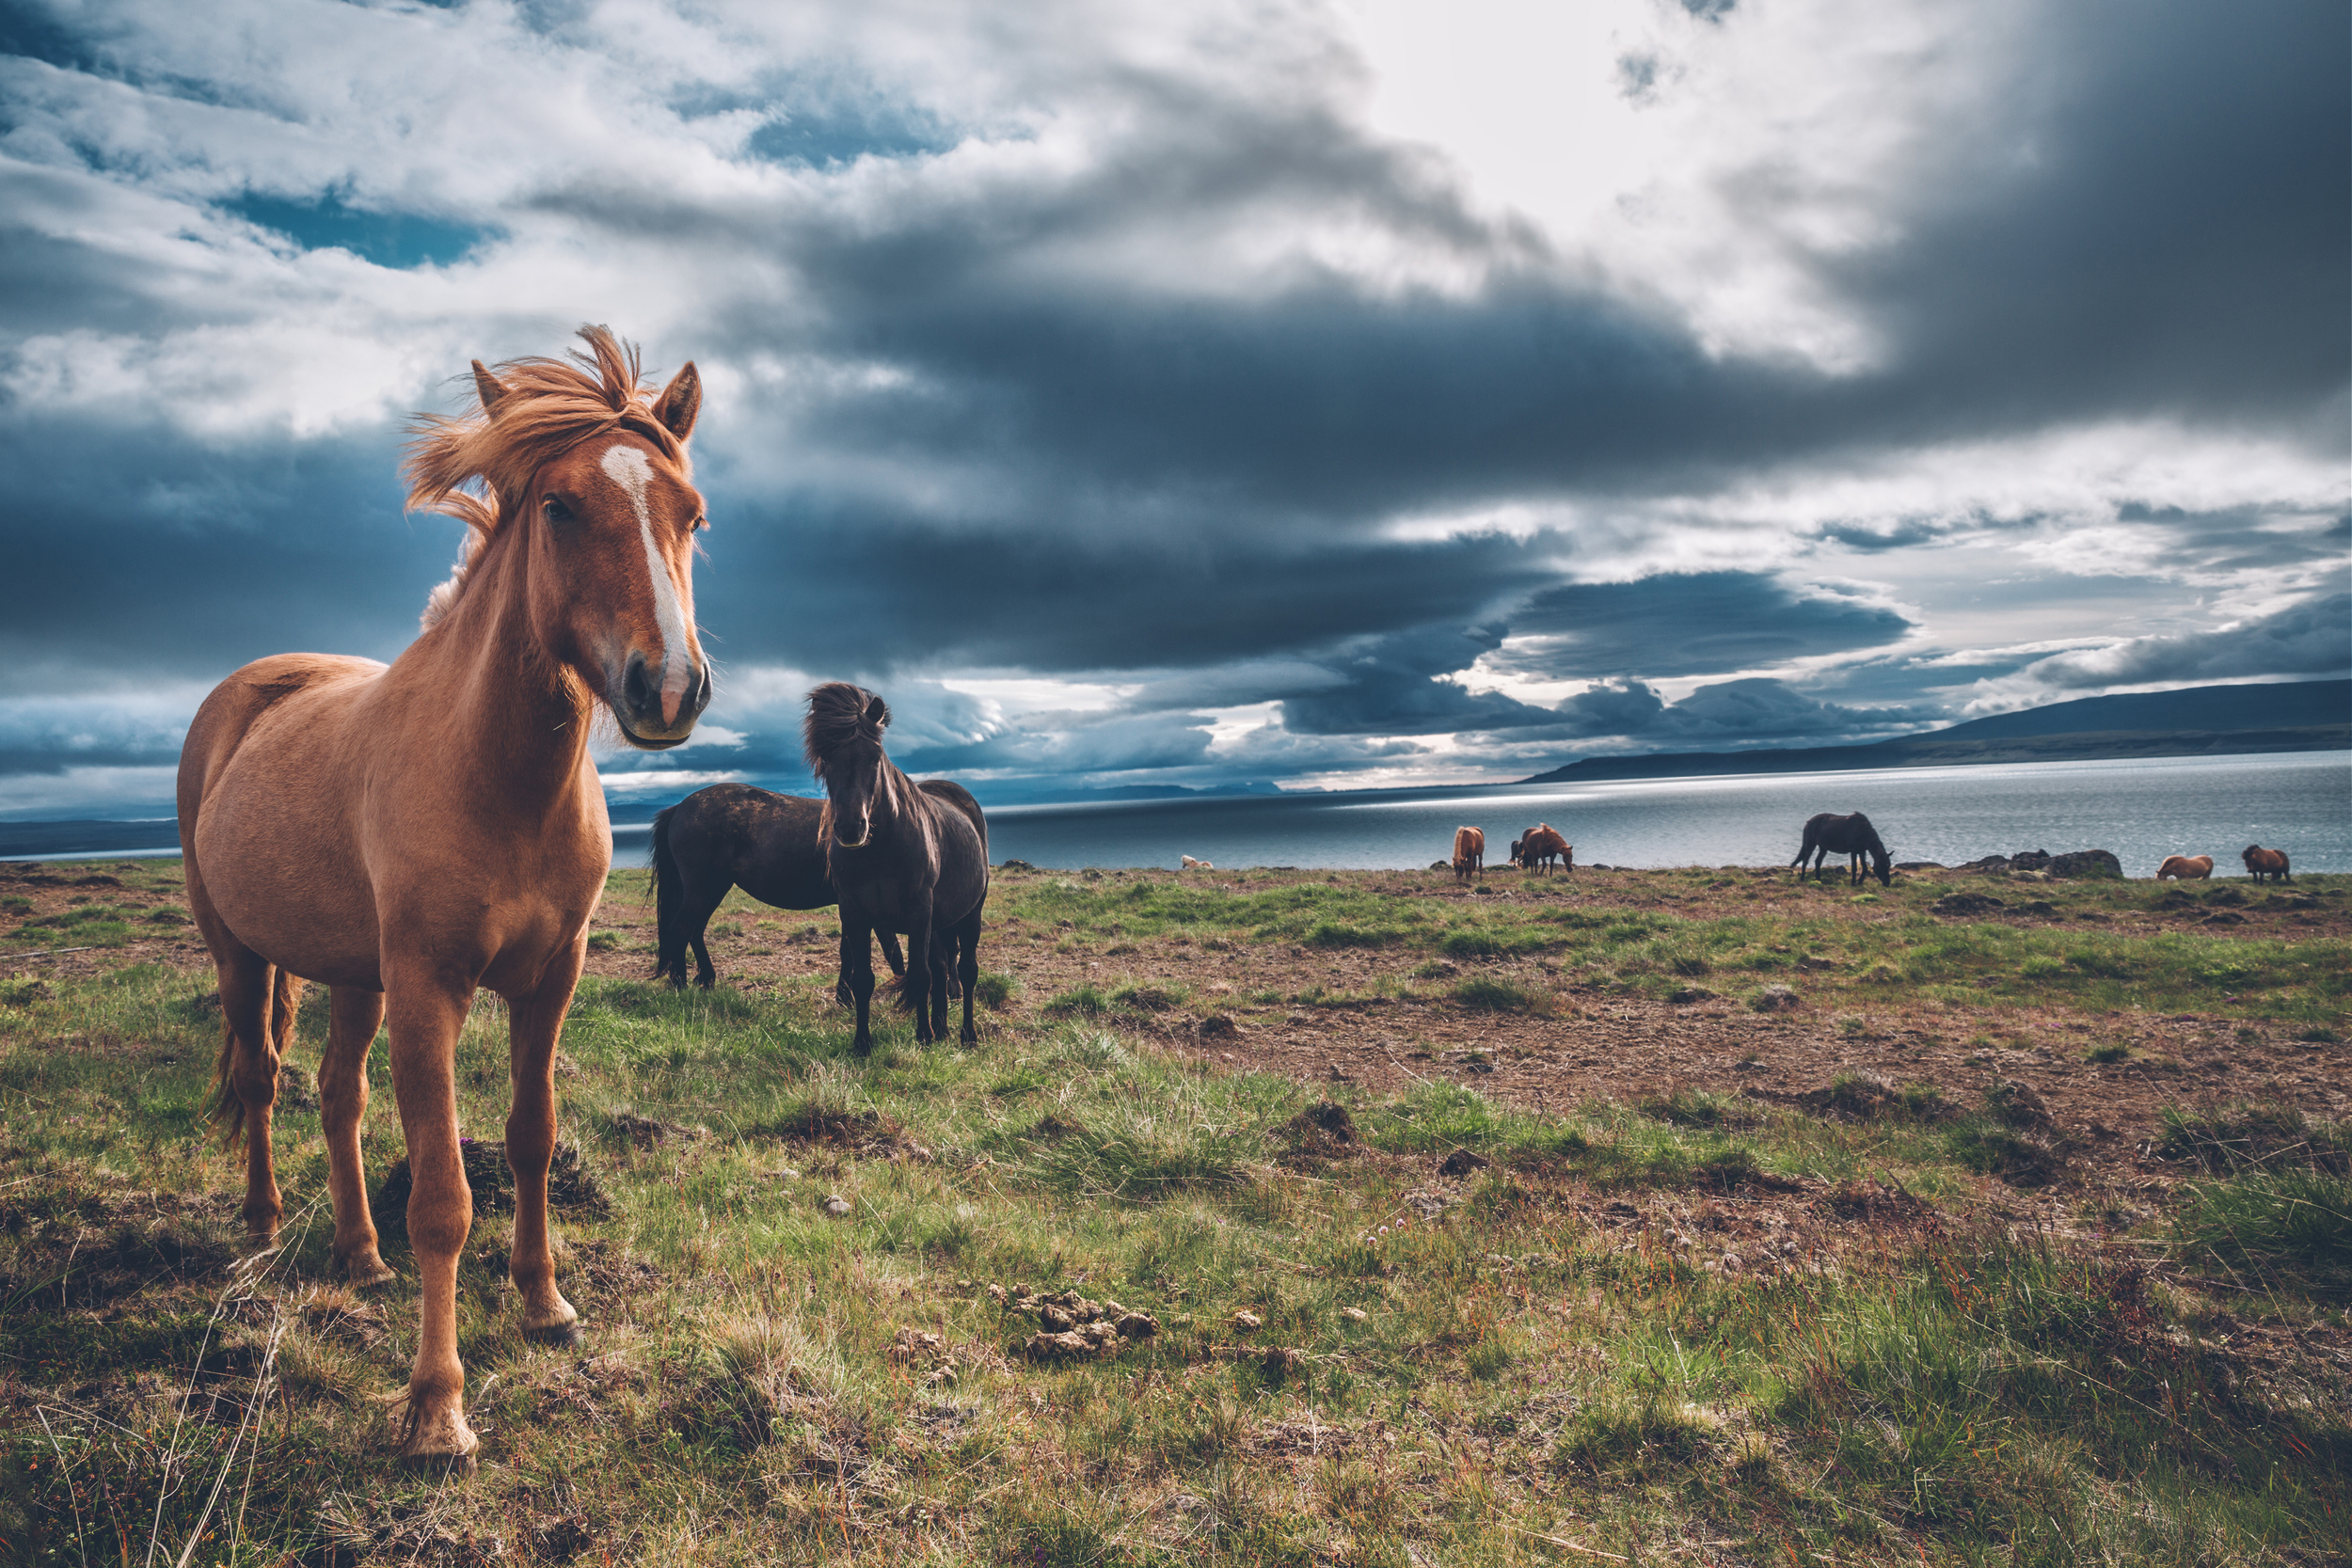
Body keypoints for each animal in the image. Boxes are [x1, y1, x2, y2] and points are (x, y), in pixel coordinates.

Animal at [177, 324, 706, 1466]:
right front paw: (435, 1406)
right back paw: (265, 1223)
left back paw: (359, 1255)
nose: (670, 688)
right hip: (243, 953)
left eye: (690, 513)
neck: (495, 776)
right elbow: (443, 1197)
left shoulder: (552, 977)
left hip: (353, 974)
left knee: (337, 1094)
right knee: (261, 1077)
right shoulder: (428, 988)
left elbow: (531, 1136)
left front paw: (545, 1304)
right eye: (558, 506)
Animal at [654, 784, 908, 991]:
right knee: (681, 929)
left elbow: (882, 952)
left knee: (695, 931)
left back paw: (706, 979)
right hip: (700, 890)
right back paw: (680, 986)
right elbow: (875, 952)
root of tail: (679, 808)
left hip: (714, 889)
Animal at [809, 686, 993, 1053]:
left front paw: (923, 1037)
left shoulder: (919, 910)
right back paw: (942, 1027)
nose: (850, 828)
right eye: (827, 757)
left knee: (966, 970)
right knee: (942, 965)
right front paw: (862, 1044)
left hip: (970, 914)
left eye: (874, 756)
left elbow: (921, 975)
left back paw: (966, 1034)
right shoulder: (854, 912)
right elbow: (863, 979)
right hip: (939, 923)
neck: (880, 850)